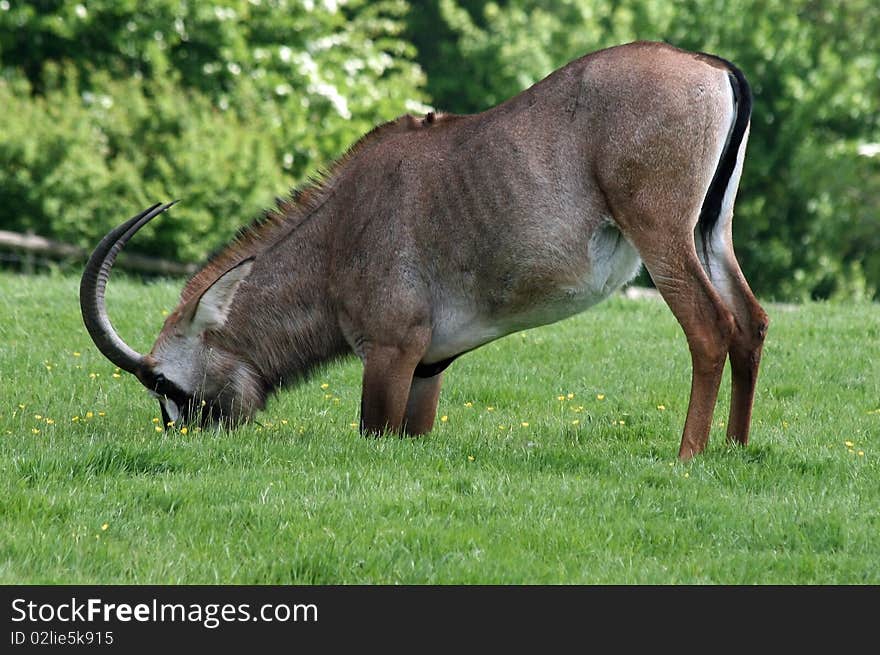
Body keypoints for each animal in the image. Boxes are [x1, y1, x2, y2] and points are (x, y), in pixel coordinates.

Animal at [84, 41, 768, 462]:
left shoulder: (391, 352)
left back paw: (687, 456)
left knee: (712, 326)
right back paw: (734, 450)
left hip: (661, 233)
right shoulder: (430, 367)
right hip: (710, 233)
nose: (189, 441)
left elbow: (373, 432)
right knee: (751, 322)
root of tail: (714, 69)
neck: (338, 235)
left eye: (164, 384)